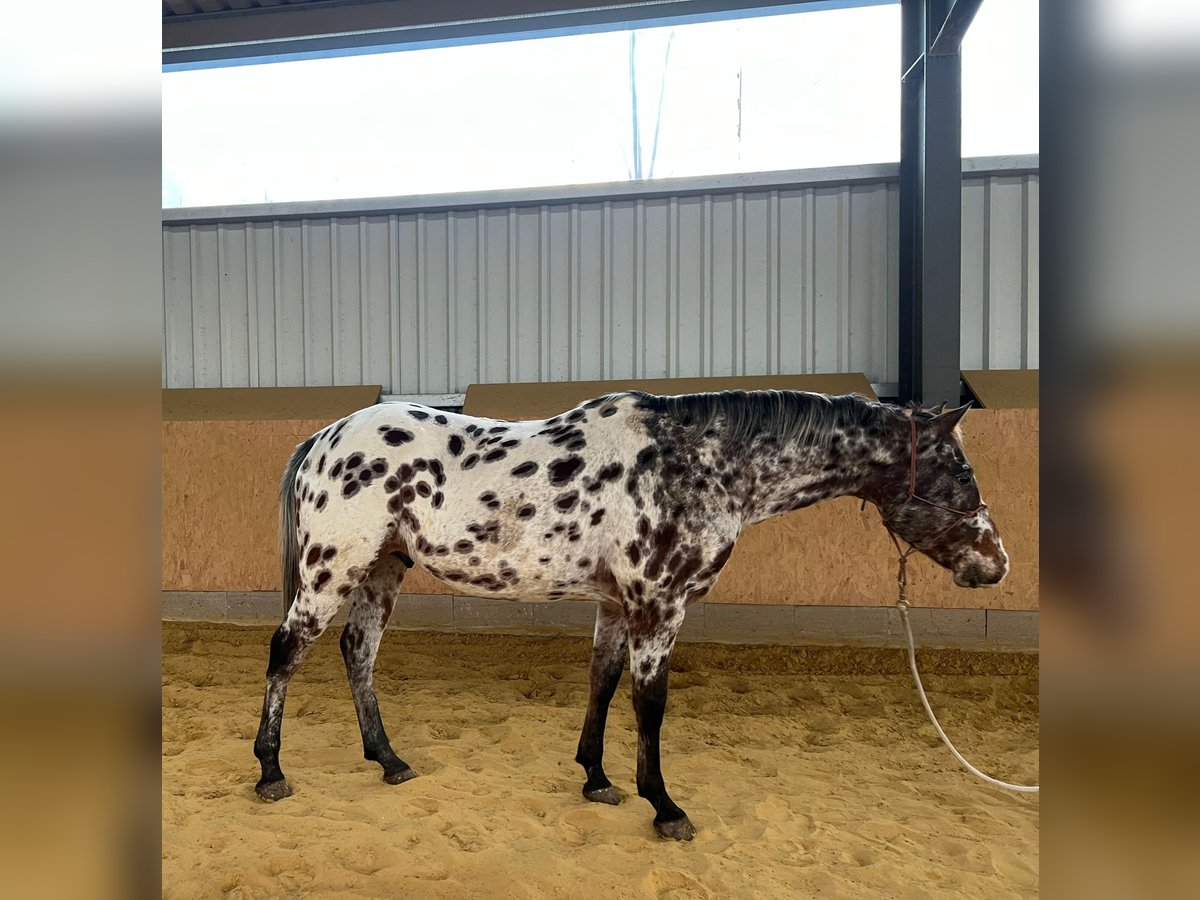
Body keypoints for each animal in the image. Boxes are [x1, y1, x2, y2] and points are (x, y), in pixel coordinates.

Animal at [253, 391, 1003, 844]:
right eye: (962, 474)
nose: (996, 565)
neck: (701, 460)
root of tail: (325, 436)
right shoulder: (658, 605)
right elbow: (651, 703)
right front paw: (665, 806)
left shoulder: (616, 604)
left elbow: (603, 682)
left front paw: (597, 778)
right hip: (330, 571)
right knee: (286, 652)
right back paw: (270, 772)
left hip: (381, 569)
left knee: (358, 651)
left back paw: (389, 760)